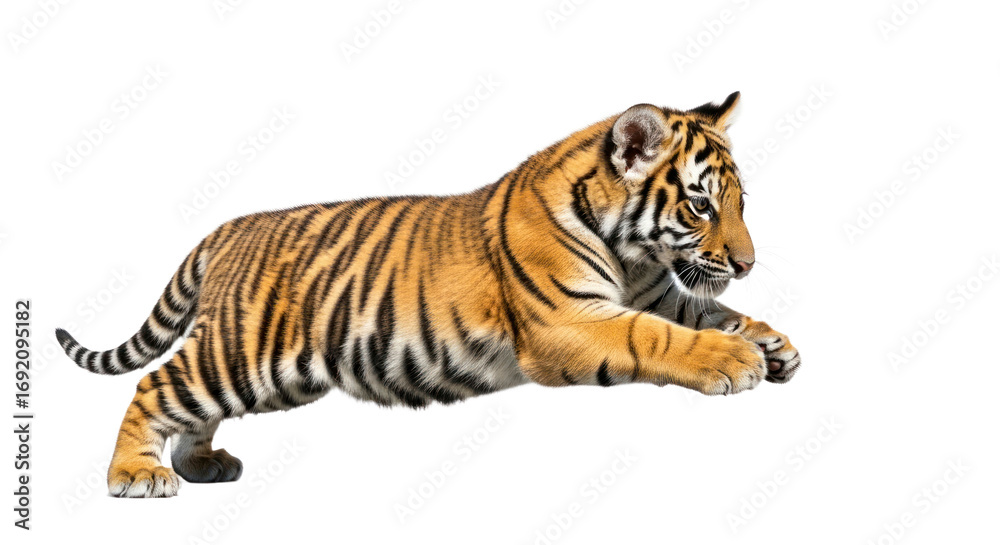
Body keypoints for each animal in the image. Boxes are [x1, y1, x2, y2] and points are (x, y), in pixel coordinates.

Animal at [55, 92, 801, 498]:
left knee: (192, 403)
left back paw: (203, 462)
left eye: (741, 202)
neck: (632, 252)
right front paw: (735, 361)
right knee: (155, 384)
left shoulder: (657, 291)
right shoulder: (567, 321)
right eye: (701, 206)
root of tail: (228, 227)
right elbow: (659, 335)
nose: (747, 262)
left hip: (273, 374)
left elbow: (710, 309)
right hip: (243, 352)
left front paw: (774, 344)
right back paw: (137, 474)